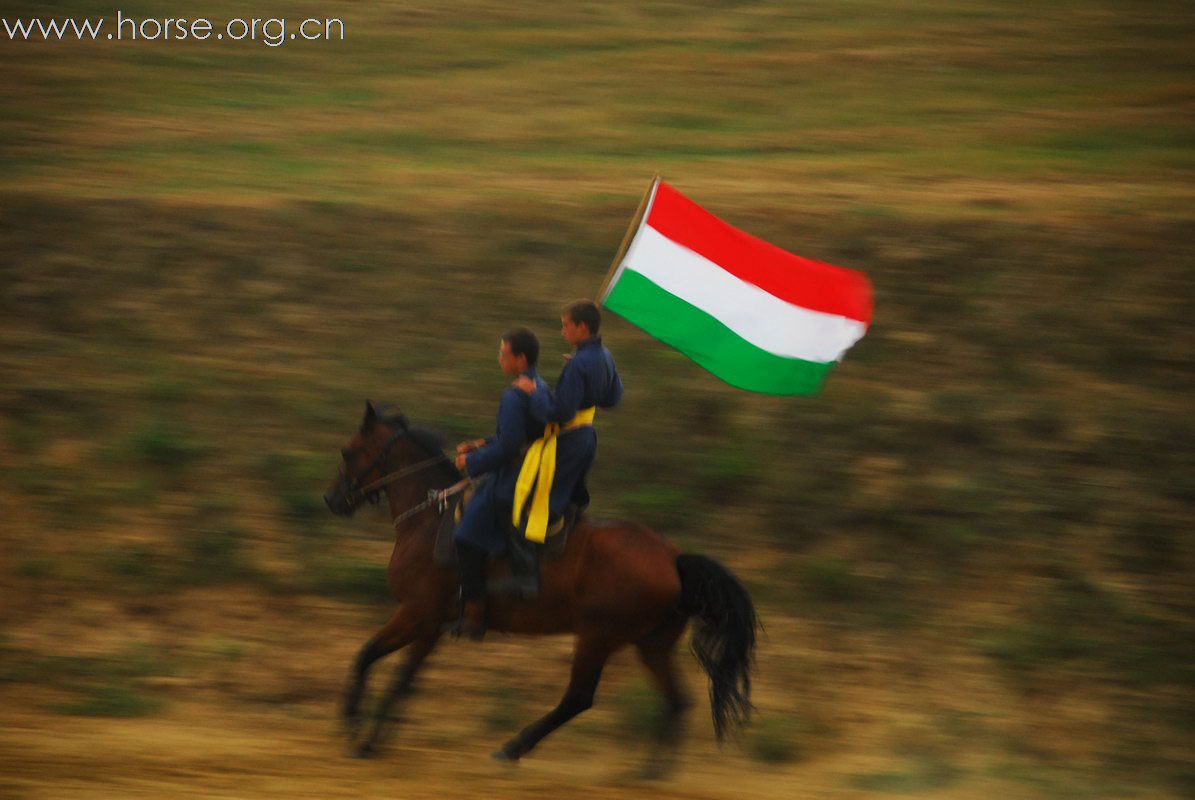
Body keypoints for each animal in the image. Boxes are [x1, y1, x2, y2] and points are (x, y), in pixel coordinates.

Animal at [325, 399, 755, 774]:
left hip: (597, 637)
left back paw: (512, 748)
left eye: (348, 452)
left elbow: (375, 664)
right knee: (676, 700)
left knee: (578, 698)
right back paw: (652, 771)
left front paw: (358, 731)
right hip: (651, 646)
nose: (332, 499)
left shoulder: (418, 616)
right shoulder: (430, 627)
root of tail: (674, 559)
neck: (428, 520)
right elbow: (392, 674)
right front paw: (366, 733)